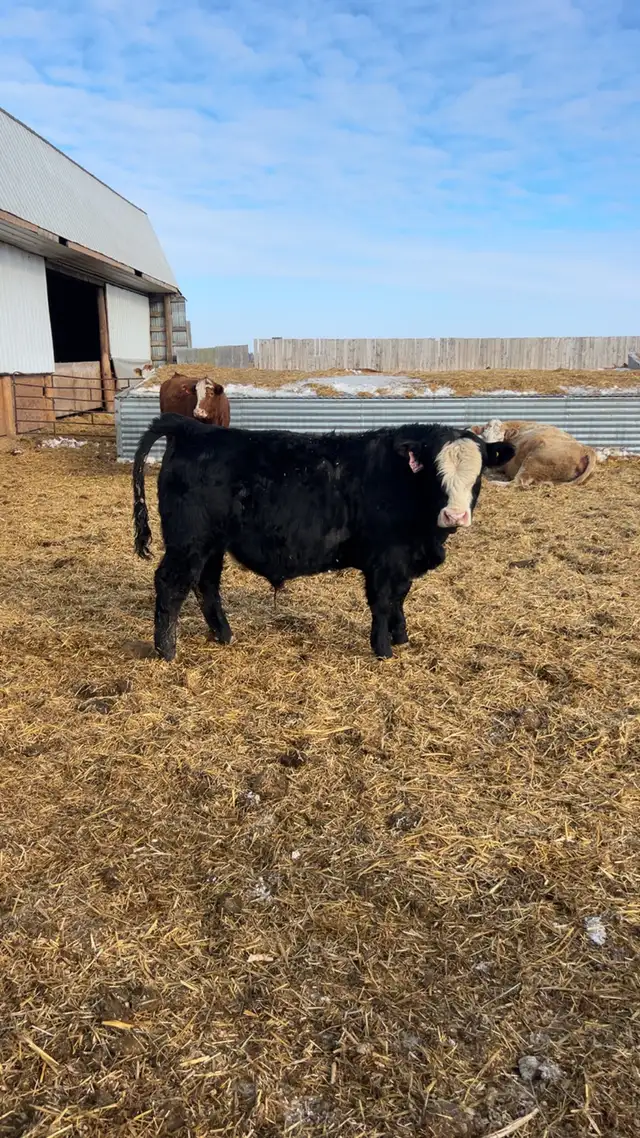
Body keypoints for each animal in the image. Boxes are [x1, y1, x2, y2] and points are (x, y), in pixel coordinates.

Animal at [132, 415, 514, 661]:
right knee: (171, 584)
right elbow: (382, 602)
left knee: (206, 585)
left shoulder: (402, 562)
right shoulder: (384, 559)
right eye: (436, 471)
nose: (455, 516)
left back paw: (224, 635)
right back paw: (167, 650)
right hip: (188, 541)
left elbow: (400, 598)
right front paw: (384, 650)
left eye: (479, 473)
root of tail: (193, 427)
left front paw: (402, 637)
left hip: (212, 545)